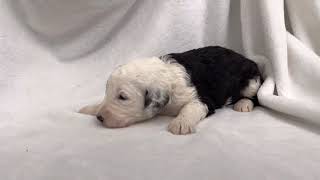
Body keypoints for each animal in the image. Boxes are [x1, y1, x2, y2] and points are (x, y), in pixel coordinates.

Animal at [79, 46, 262, 135]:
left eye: (123, 97)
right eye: (107, 92)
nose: (100, 118)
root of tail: (245, 57)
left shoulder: (203, 99)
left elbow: (191, 107)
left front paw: (180, 124)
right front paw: (89, 108)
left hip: (251, 82)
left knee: (254, 96)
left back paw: (243, 104)